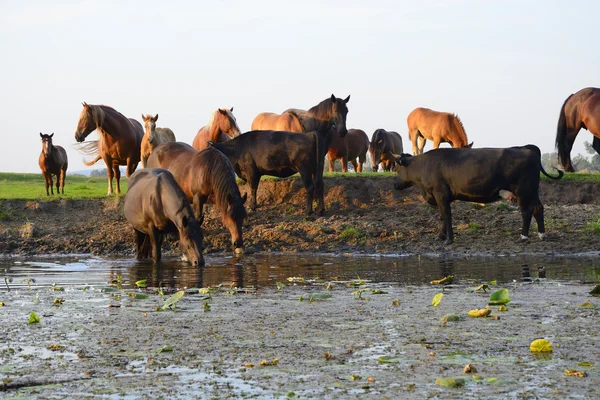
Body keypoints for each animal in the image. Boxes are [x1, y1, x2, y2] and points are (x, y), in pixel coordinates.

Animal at [392, 145, 564, 244]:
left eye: (398, 168)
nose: (394, 184)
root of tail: (528, 149)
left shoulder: (440, 193)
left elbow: (446, 215)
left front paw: (448, 239)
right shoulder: (442, 196)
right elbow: (442, 215)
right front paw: (441, 236)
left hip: (523, 191)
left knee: (527, 211)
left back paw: (523, 236)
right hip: (532, 191)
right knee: (538, 208)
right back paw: (542, 235)